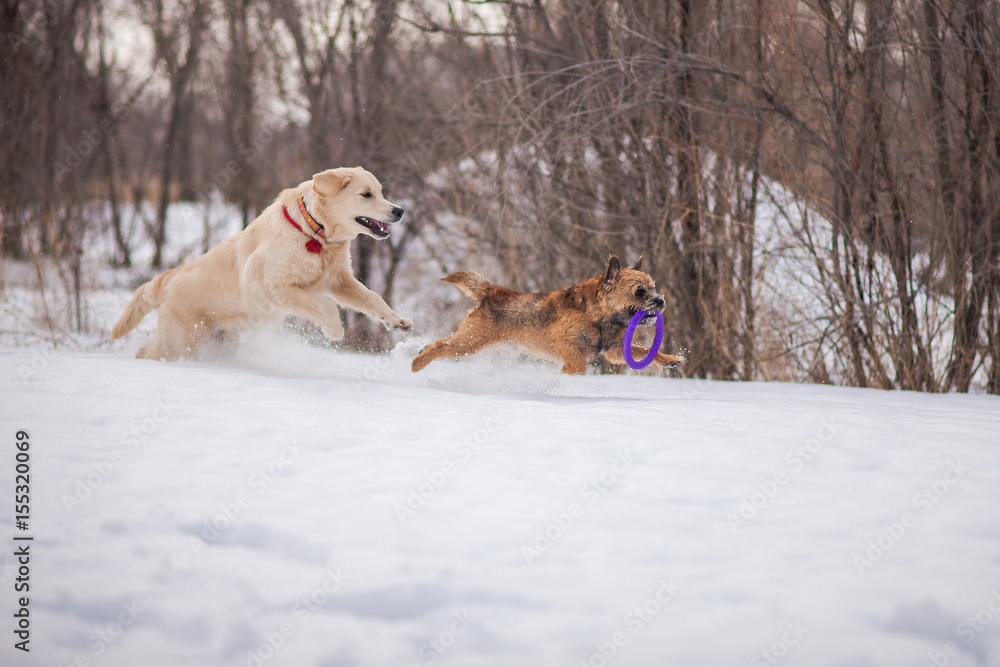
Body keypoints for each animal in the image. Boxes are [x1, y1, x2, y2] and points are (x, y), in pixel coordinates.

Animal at [108, 167, 406, 360]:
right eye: (366, 194)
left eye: (380, 192)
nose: (400, 210)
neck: (314, 233)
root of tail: (168, 277)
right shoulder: (272, 285)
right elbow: (324, 306)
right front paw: (334, 331)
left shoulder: (337, 279)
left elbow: (372, 298)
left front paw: (397, 321)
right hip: (182, 341)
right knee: (147, 352)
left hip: (218, 340)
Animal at [410, 256, 684, 376]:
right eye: (639, 292)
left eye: (653, 287)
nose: (661, 301)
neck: (601, 316)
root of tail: (494, 292)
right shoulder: (562, 338)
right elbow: (579, 363)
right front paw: (566, 370)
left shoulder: (616, 351)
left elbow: (647, 351)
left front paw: (670, 359)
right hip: (470, 342)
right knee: (439, 345)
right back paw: (416, 364)